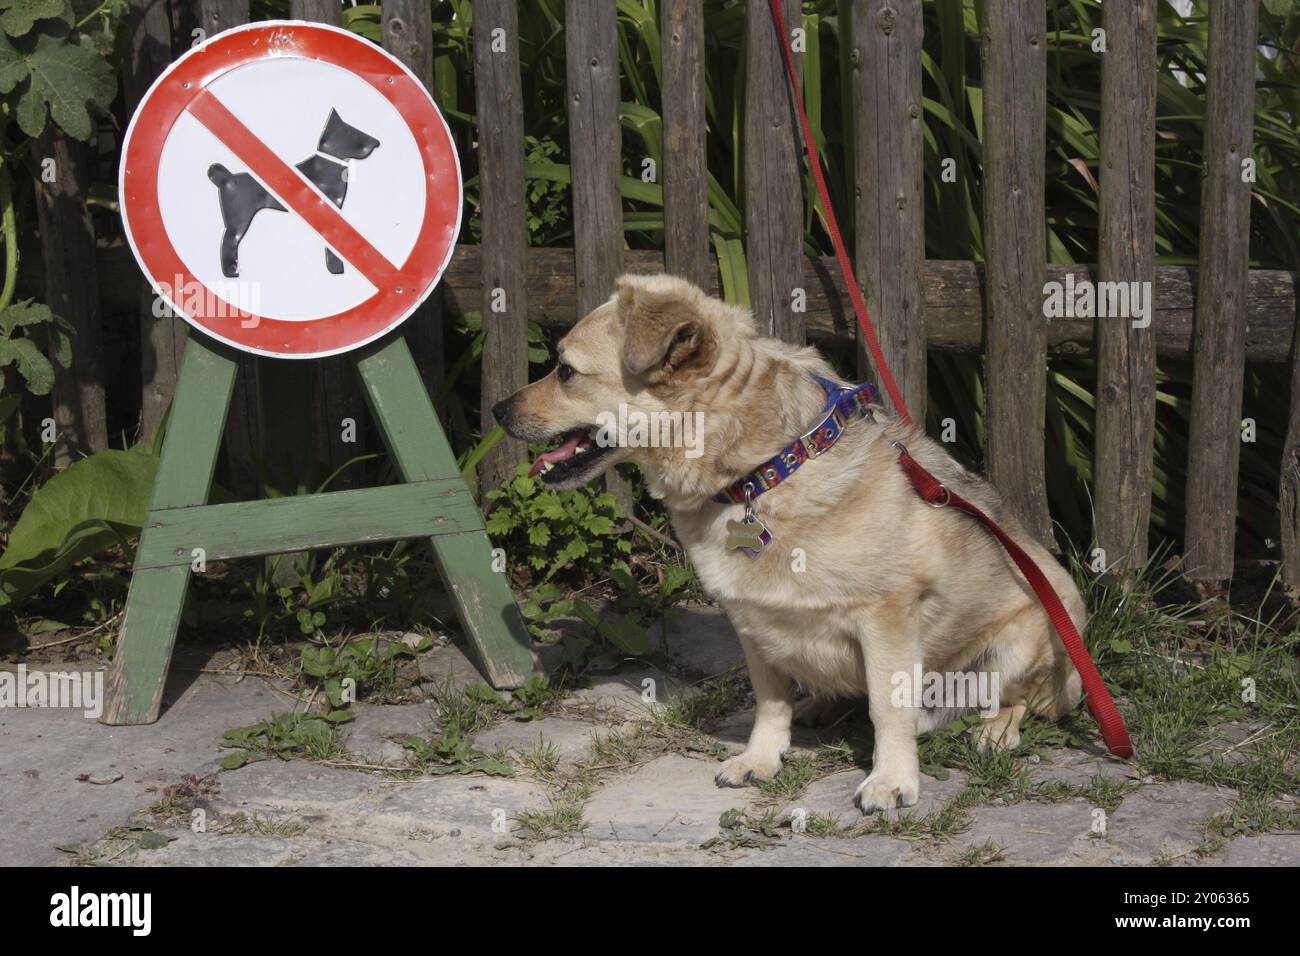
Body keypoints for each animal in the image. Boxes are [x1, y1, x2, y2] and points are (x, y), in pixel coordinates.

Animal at [491, 273, 1081, 811]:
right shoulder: (754, 623)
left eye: (566, 371)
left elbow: (888, 708)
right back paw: (821, 704)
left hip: (1026, 636)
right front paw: (761, 758)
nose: (497, 410)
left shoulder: (887, 617)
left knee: (1021, 700)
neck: (759, 473)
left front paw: (892, 780)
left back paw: (995, 730)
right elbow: (770, 701)